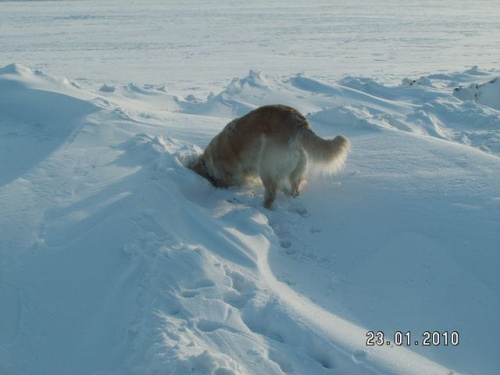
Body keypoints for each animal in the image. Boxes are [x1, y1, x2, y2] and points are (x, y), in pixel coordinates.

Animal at [189, 105, 350, 209]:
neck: (208, 161)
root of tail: (299, 122)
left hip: (265, 165)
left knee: (272, 192)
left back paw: (262, 207)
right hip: (296, 167)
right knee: (292, 187)